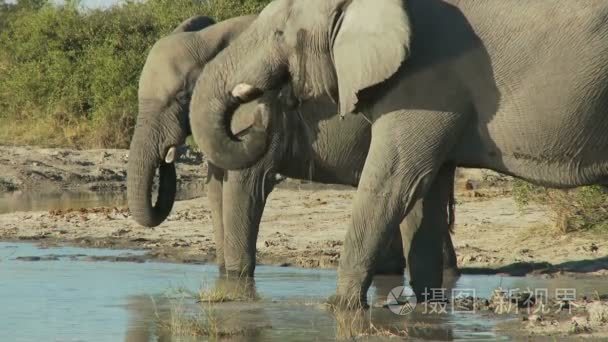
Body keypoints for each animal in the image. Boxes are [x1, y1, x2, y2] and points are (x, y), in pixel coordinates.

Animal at [128, 14, 458, 288]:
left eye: (181, 96)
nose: (168, 153)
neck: (209, 38)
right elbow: (216, 188)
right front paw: (224, 276)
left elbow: (245, 181)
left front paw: (236, 281)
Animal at [189, 0, 608, 308]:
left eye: (279, 34)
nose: (266, 108)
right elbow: (425, 193)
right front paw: (427, 307)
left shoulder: (426, 79)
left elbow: (394, 179)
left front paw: (338, 308)